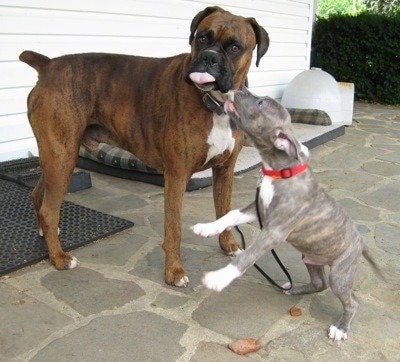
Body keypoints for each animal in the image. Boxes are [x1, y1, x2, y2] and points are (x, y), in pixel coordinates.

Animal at [18, 6, 268, 286]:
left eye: (235, 47)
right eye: (202, 38)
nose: (209, 57)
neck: (215, 103)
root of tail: (49, 64)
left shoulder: (225, 171)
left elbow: (224, 213)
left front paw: (229, 245)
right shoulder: (177, 176)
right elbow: (174, 228)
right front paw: (174, 272)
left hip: (57, 157)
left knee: (38, 194)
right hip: (63, 157)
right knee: (50, 210)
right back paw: (59, 257)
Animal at [192, 87, 382, 340]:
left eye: (261, 103)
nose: (239, 89)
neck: (280, 170)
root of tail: (361, 241)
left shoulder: (273, 231)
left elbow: (246, 257)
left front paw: (217, 279)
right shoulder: (258, 210)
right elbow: (230, 214)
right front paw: (206, 228)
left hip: (340, 274)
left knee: (352, 301)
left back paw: (340, 328)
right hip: (310, 257)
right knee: (319, 282)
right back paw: (295, 289)